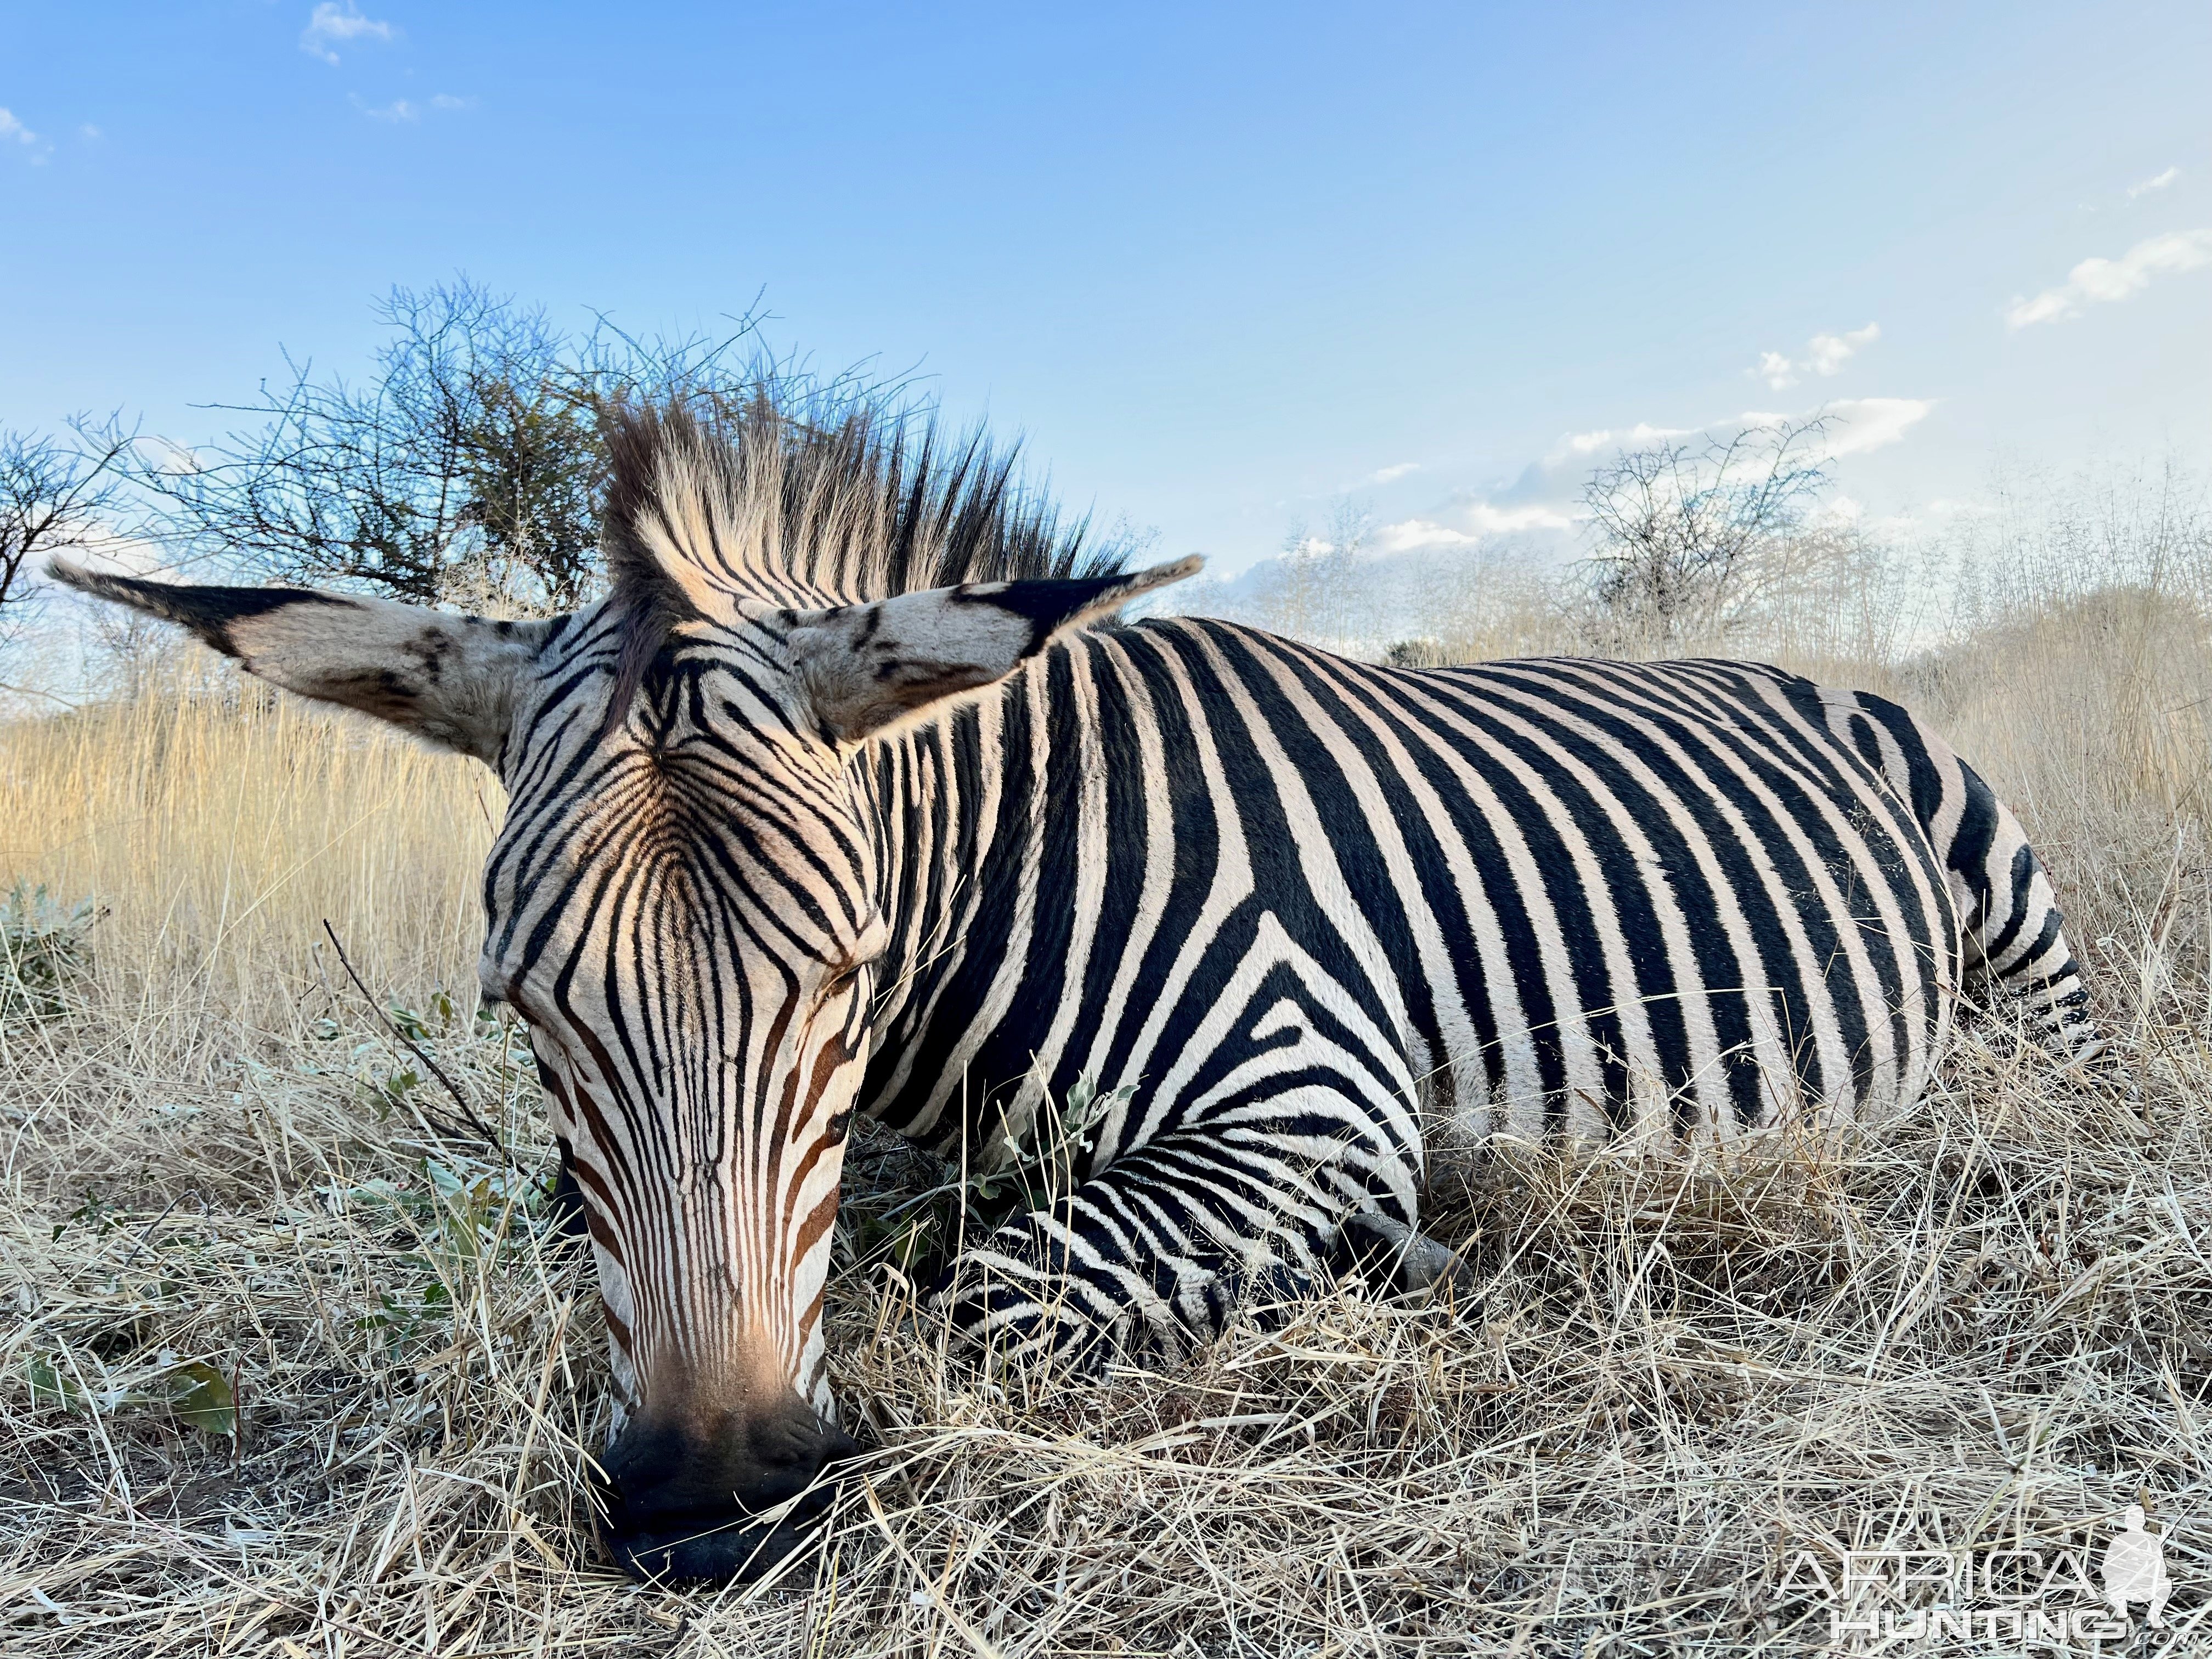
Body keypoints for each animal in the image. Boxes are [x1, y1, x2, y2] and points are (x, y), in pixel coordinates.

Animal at [56, 400, 2106, 1583]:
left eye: (845, 971)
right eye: (524, 1009)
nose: (713, 1504)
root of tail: (1784, 661)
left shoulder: (1310, 1091)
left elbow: (1000, 1285)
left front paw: (1382, 1269)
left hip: (2004, 911)